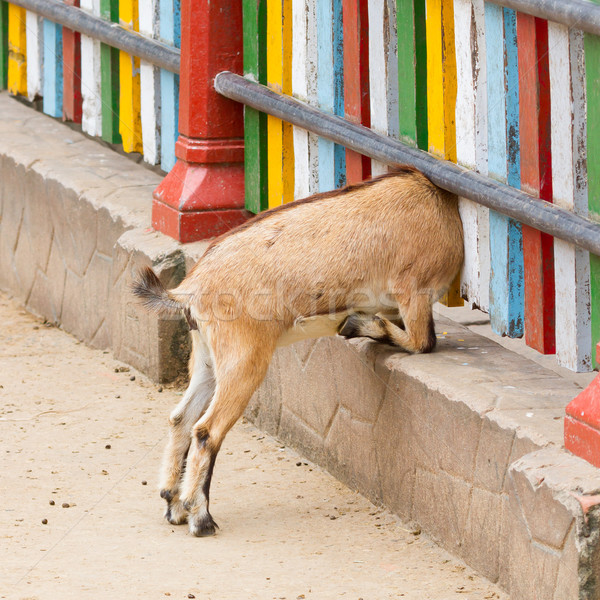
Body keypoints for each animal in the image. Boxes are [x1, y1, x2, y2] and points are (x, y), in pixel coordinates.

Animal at [134, 166, 464, 536]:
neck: (437, 202)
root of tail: (188, 290)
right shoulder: (413, 290)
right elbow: (423, 342)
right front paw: (355, 323)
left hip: (207, 358)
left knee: (181, 418)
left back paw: (174, 506)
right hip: (244, 357)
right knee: (207, 430)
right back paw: (201, 517)